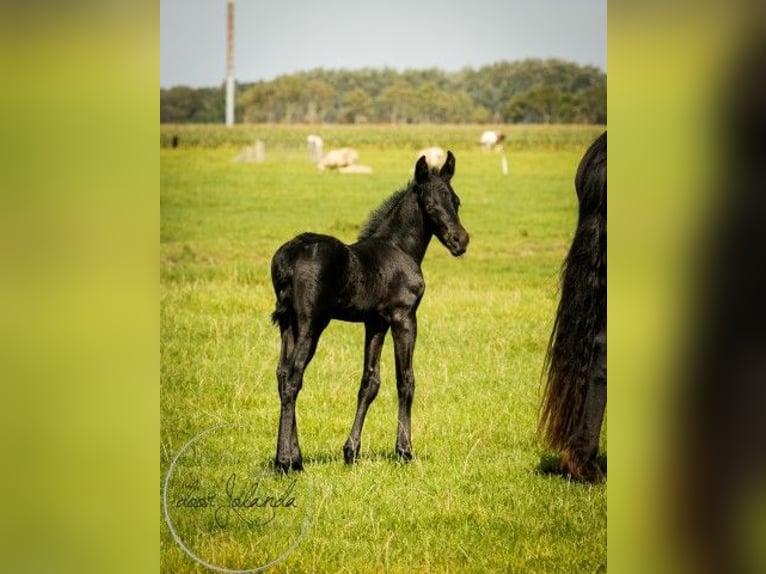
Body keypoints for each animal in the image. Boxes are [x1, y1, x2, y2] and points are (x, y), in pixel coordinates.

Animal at [270, 151, 469, 472]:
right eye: (429, 205)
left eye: (456, 200)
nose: (459, 241)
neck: (399, 248)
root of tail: (287, 257)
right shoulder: (404, 317)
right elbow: (406, 380)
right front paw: (404, 451)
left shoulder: (375, 323)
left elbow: (370, 382)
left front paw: (351, 451)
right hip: (311, 324)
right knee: (293, 378)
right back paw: (286, 461)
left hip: (288, 324)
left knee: (281, 373)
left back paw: (294, 458)